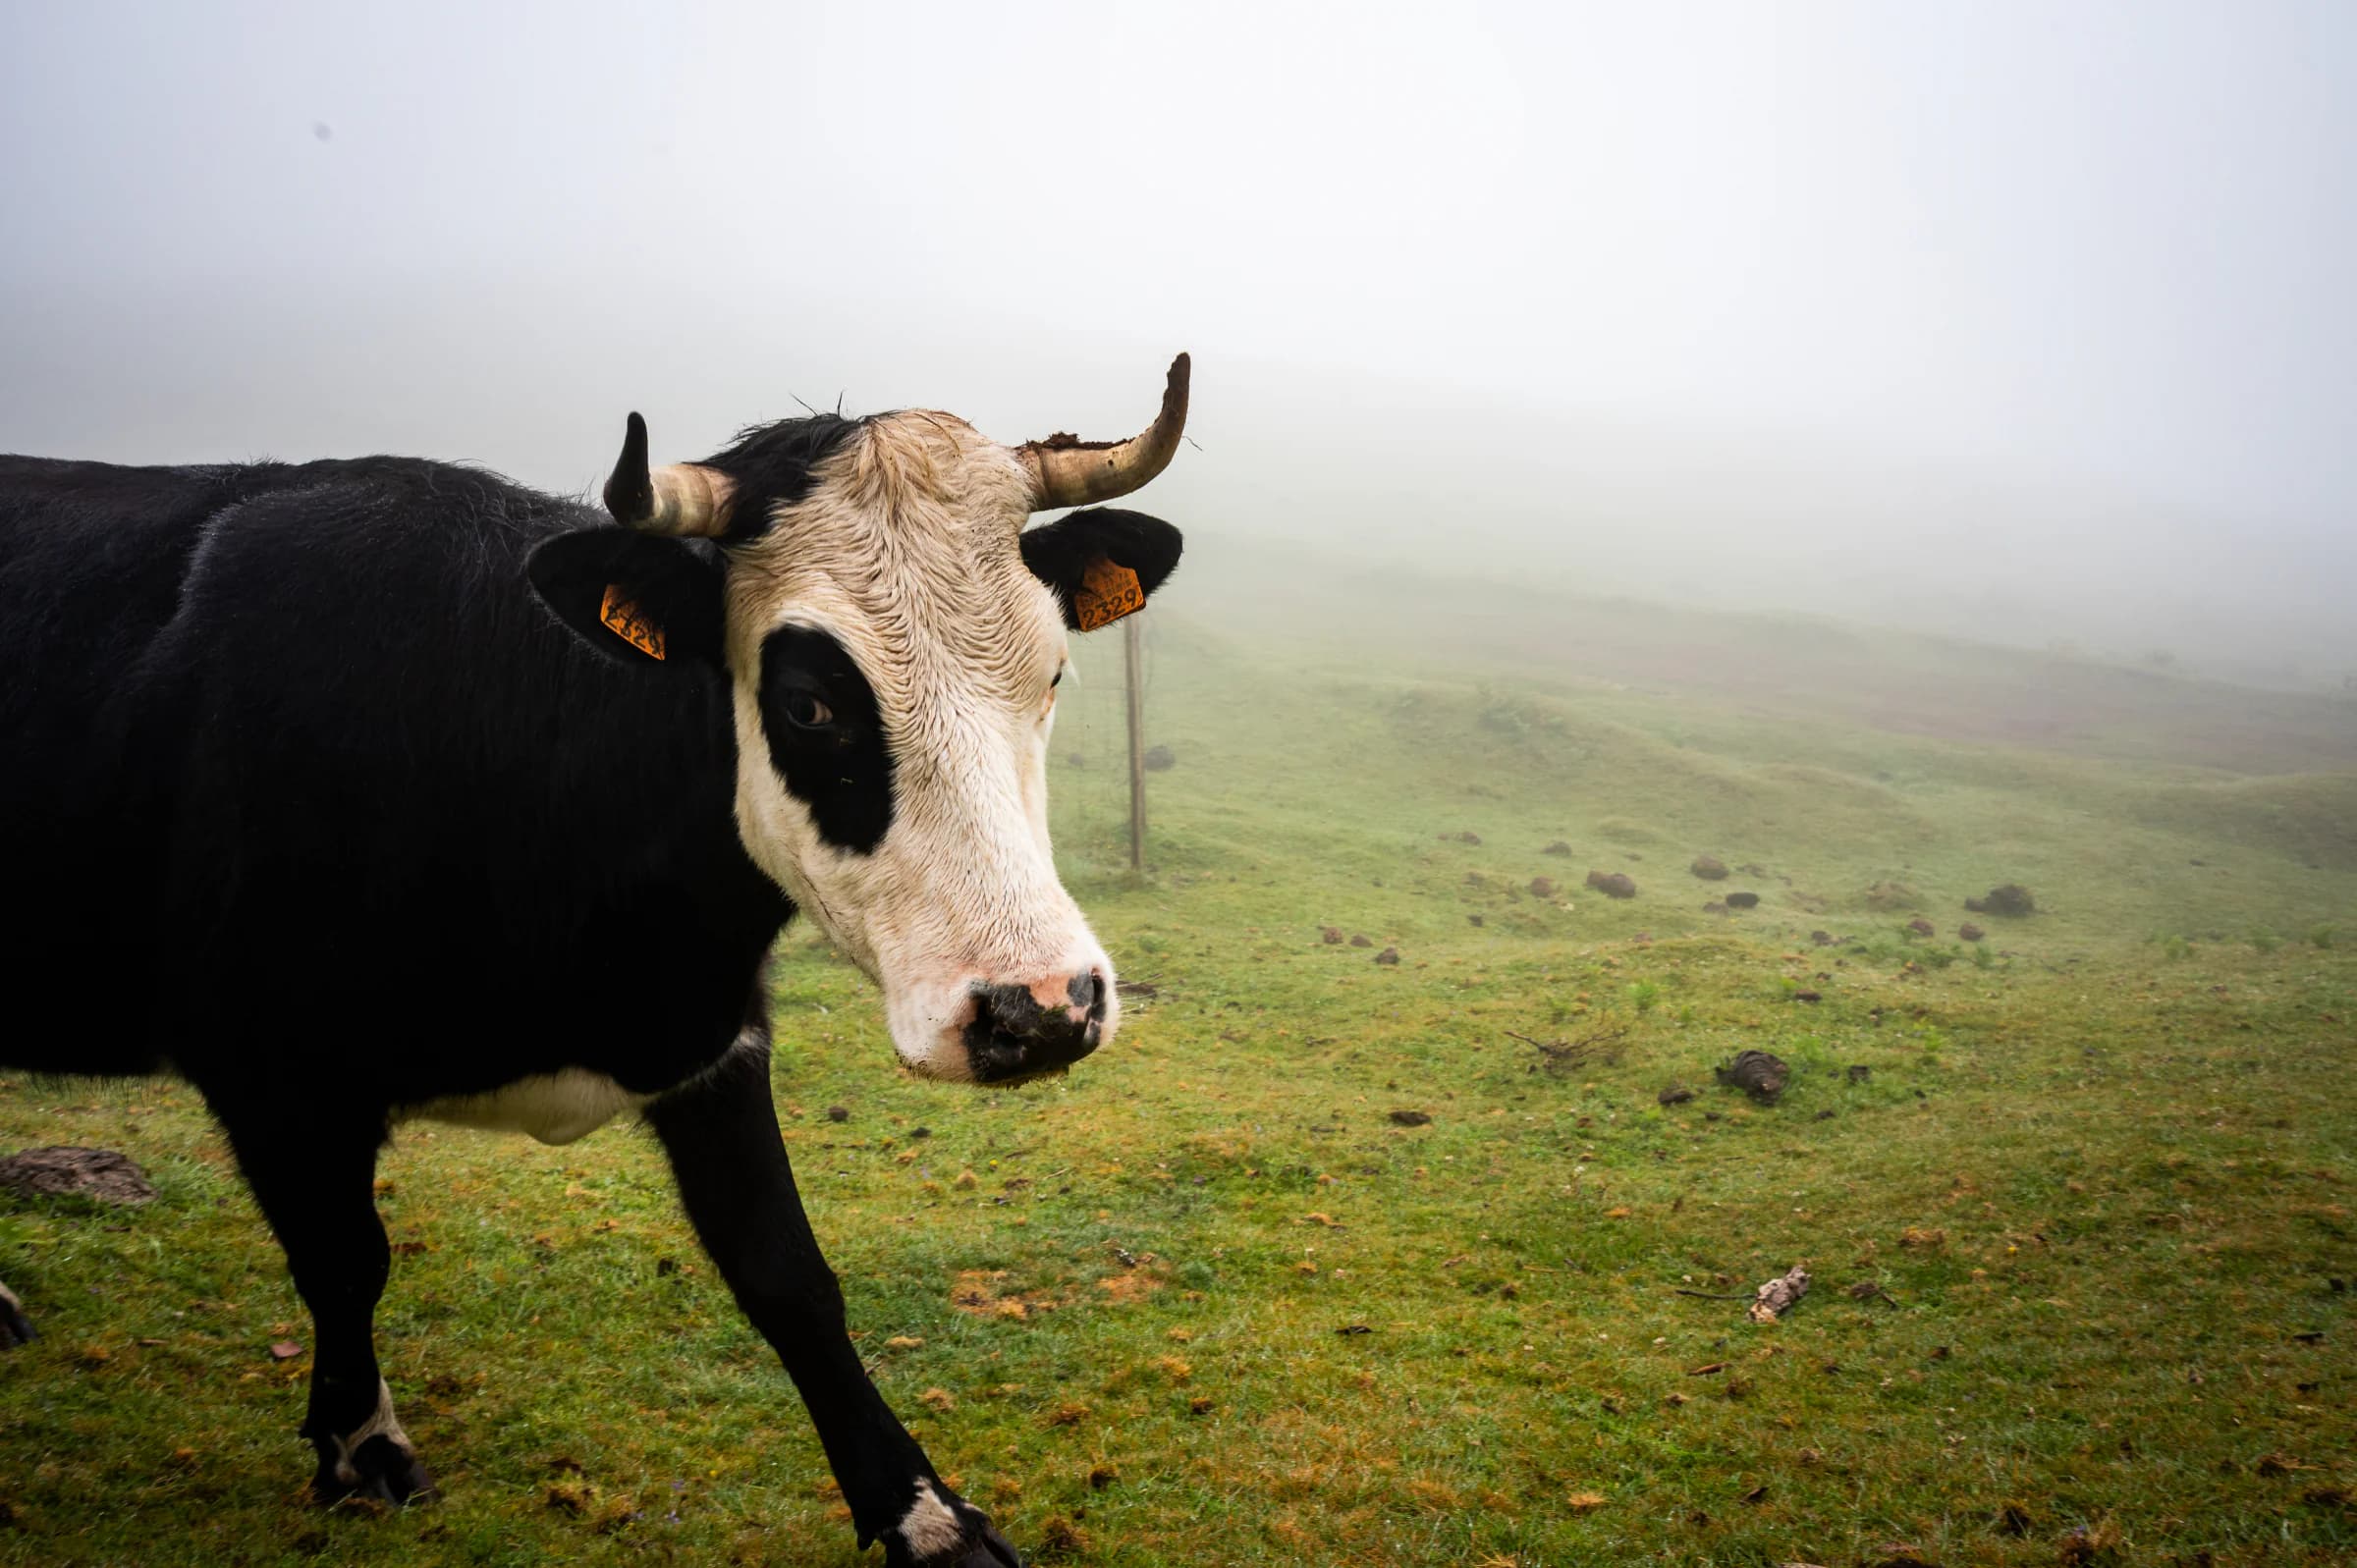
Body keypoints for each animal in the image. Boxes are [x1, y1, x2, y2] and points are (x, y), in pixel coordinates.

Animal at [0, 357, 1191, 1568]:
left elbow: (789, 1273)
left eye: (1051, 675)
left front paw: (926, 1515)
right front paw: (360, 1449)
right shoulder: (271, 1072)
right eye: (807, 702)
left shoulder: (711, 1041)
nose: (1039, 1010)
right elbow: (345, 1260)